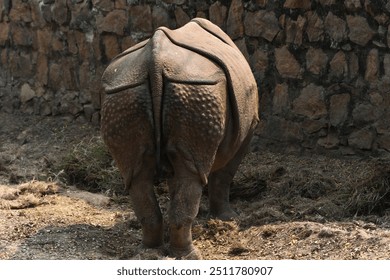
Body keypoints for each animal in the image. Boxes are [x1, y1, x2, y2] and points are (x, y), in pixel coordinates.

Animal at [100, 18, 258, 260]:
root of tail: (154, 62)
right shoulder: (247, 131)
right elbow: (223, 176)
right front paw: (229, 218)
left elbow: (176, 182)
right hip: (196, 88)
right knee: (192, 173)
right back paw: (190, 256)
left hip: (125, 94)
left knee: (136, 174)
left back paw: (148, 251)